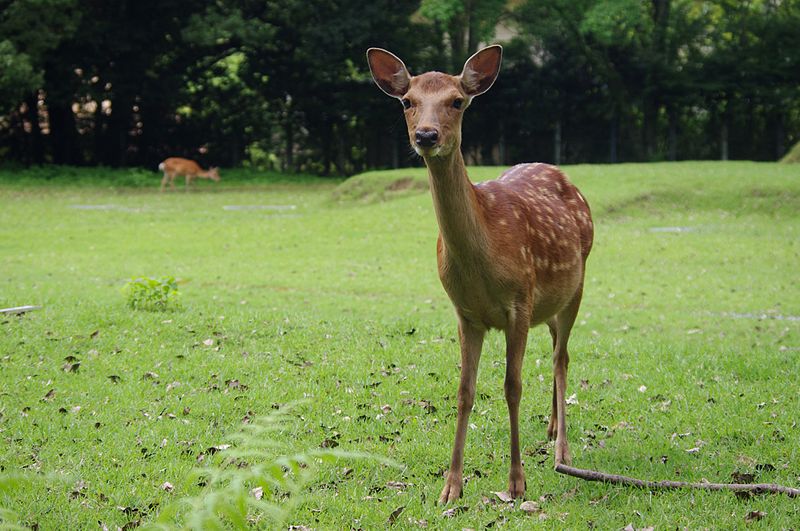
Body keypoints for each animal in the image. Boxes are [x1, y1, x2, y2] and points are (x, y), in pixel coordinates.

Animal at [368, 44, 592, 502]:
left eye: (457, 101)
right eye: (407, 101)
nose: (427, 136)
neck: (481, 261)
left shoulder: (519, 303)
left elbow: (512, 387)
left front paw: (516, 482)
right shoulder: (465, 313)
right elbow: (464, 392)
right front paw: (451, 486)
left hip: (577, 284)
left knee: (562, 357)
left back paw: (563, 450)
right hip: (550, 300)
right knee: (555, 347)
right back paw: (551, 426)